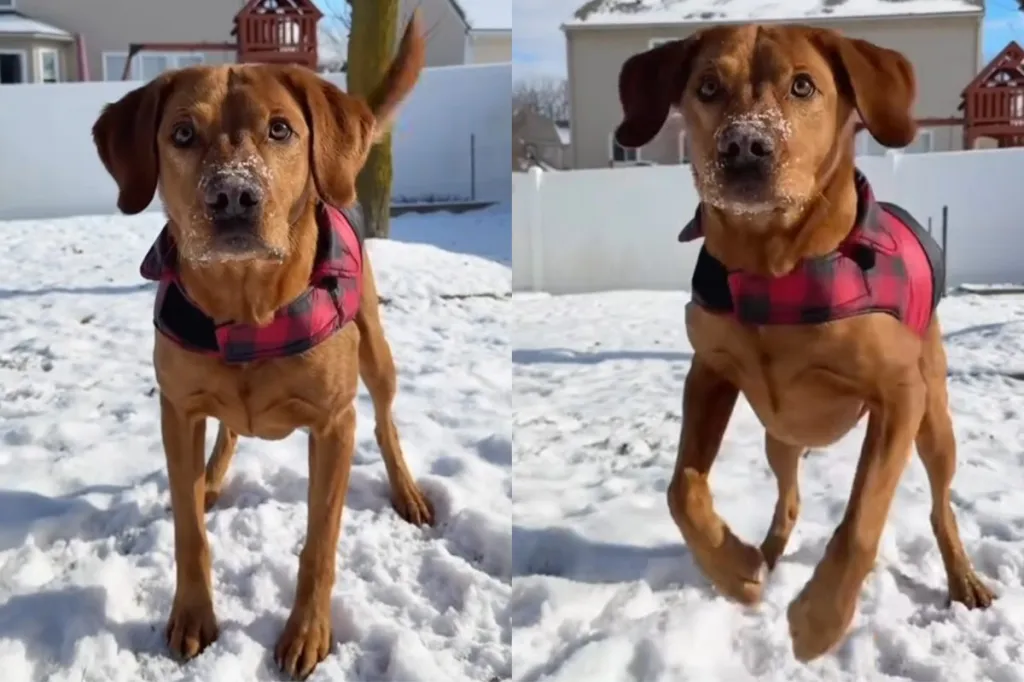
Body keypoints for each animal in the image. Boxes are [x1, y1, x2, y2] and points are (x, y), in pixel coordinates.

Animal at [90, 13, 434, 675]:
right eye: (182, 133)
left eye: (280, 129)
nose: (233, 196)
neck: (247, 308)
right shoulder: (177, 408)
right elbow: (189, 530)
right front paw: (193, 613)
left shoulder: (333, 424)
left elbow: (320, 541)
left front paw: (307, 632)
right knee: (226, 432)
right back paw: (211, 477)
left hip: (376, 354)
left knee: (386, 421)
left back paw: (406, 489)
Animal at [610, 25, 995, 659]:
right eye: (707, 86)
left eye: (803, 86)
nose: (744, 145)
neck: (774, 269)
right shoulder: (709, 372)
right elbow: (682, 488)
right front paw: (732, 568)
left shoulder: (899, 397)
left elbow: (862, 520)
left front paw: (819, 620)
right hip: (781, 436)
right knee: (788, 498)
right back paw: (761, 555)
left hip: (934, 419)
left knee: (941, 505)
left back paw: (963, 577)